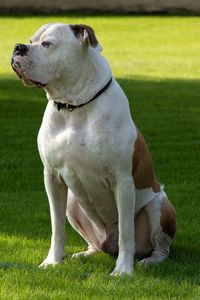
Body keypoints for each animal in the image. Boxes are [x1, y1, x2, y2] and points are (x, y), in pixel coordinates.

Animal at [11, 22, 176, 276]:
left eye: (47, 44)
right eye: (30, 40)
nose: (18, 47)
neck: (74, 106)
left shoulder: (122, 181)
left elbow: (126, 232)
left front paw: (123, 271)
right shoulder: (52, 177)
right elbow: (57, 227)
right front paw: (53, 261)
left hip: (160, 207)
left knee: (159, 245)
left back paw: (150, 260)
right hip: (73, 203)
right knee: (94, 244)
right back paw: (84, 254)